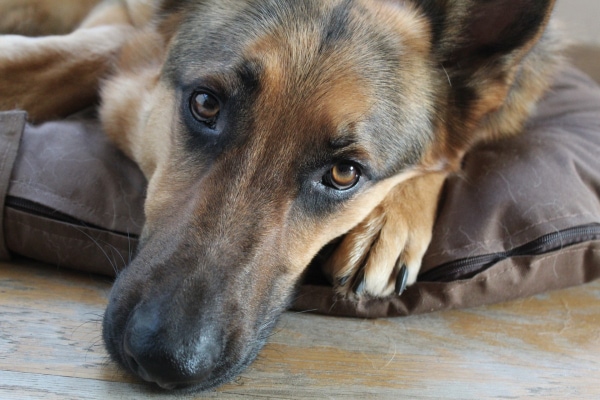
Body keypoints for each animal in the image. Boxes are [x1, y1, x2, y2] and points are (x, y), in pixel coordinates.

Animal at [0, 0, 564, 390]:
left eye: (345, 173)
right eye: (205, 104)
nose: (165, 360)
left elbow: (450, 154)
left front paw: (392, 217)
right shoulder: (121, 32)